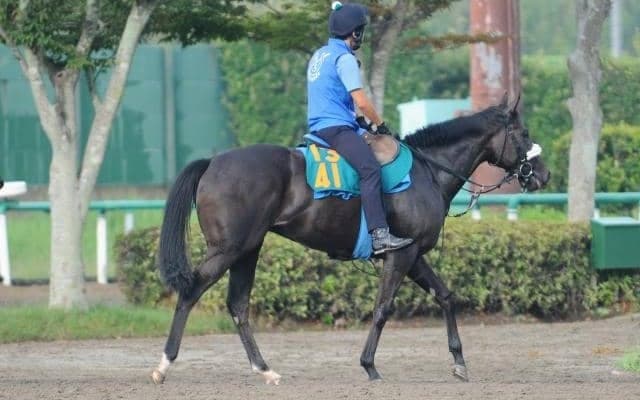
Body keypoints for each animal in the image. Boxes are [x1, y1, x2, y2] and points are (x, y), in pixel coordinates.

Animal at [151, 95, 550, 385]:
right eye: (523, 133)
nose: (543, 174)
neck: (427, 171)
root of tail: (212, 163)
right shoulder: (400, 256)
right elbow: (383, 308)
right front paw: (369, 365)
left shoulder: (414, 254)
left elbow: (446, 296)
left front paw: (459, 361)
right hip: (228, 250)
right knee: (191, 292)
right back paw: (164, 365)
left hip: (249, 249)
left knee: (238, 305)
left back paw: (265, 369)